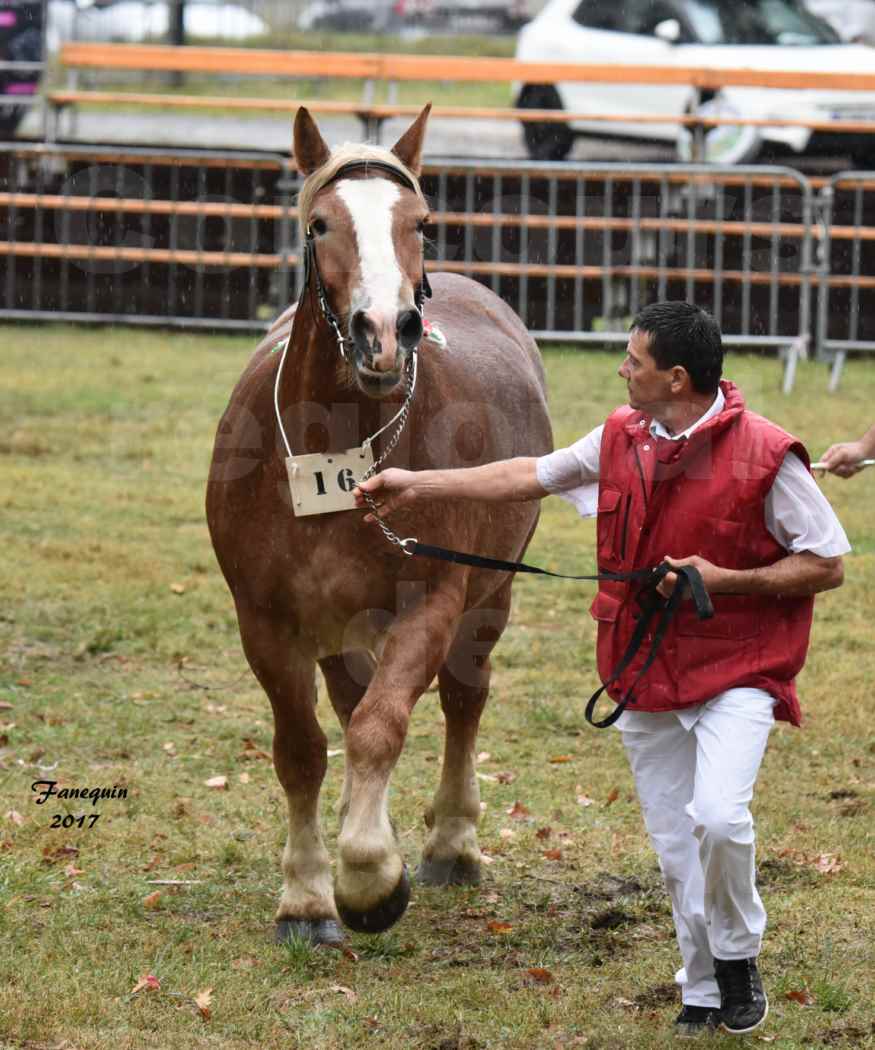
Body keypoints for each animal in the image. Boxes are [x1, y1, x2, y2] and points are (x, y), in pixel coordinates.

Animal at [203, 104, 550, 944]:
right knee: (348, 700)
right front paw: (305, 897)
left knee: (461, 698)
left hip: (488, 601)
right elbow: (302, 749)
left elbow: (379, 727)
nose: (384, 332)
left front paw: (369, 878)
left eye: (419, 222)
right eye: (320, 223)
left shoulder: (431, 605)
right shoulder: (266, 622)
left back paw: (450, 843)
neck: (331, 444)